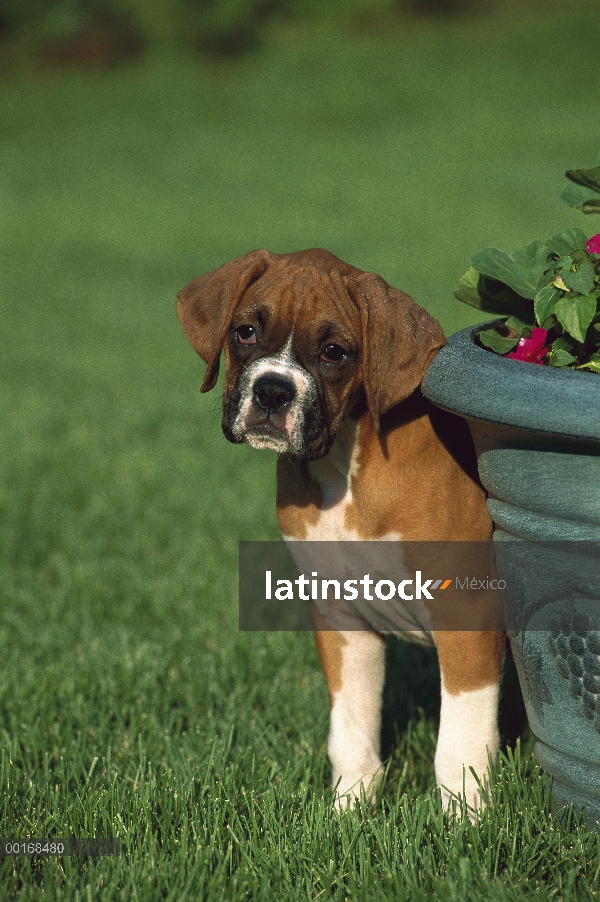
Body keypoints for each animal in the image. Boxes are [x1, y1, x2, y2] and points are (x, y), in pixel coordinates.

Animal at [177, 249, 502, 820]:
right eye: (245, 332)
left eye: (334, 352)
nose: (273, 390)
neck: (345, 464)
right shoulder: (343, 621)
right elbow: (351, 730)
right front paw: (348, 811)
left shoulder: (468, 619)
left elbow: (459, 743)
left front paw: (465, 824)